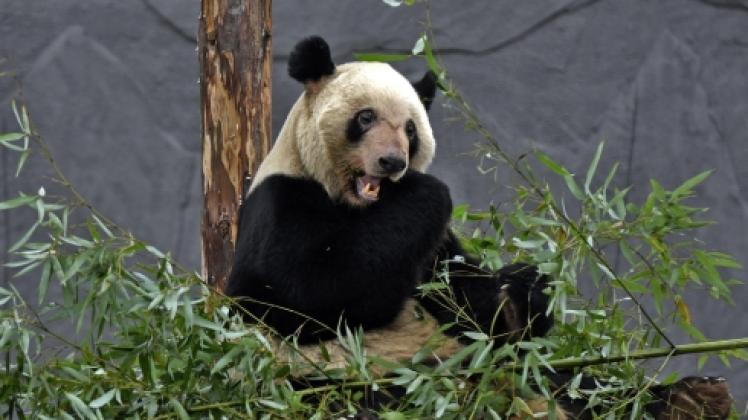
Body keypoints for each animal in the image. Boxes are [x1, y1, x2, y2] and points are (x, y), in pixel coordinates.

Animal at [226, 36, 732, 420]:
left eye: (411, 129)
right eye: (365, 117)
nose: (393, 162)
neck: (359, 208)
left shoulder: (431, 249)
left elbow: (478, 308)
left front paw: (522, 290)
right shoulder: (280, 203)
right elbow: (310, 292)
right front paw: (427, 190)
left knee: (576, 385)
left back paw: (691, 399)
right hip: (338, 384)